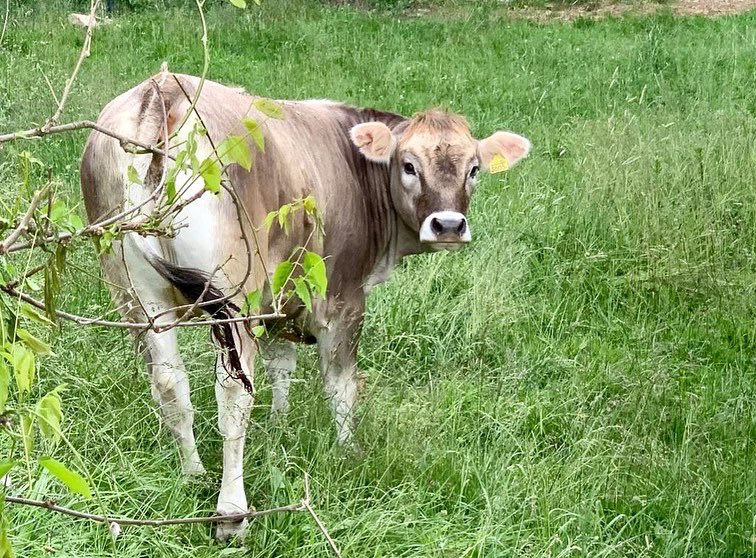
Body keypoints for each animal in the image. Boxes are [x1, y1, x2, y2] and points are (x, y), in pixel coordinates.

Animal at [80, 71, 530, 539]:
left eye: (473, 169)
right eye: (409, 165)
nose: (448, 225)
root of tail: (162, 93)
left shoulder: (280, 297)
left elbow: (282, 364)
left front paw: (278, 429)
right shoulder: (342, 300)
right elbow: (342, 385)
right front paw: (349, 451)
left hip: (138, 298)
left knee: (170, 384)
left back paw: (193, 474)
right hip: (232, 296)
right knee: (233, 395)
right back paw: (231, 514)